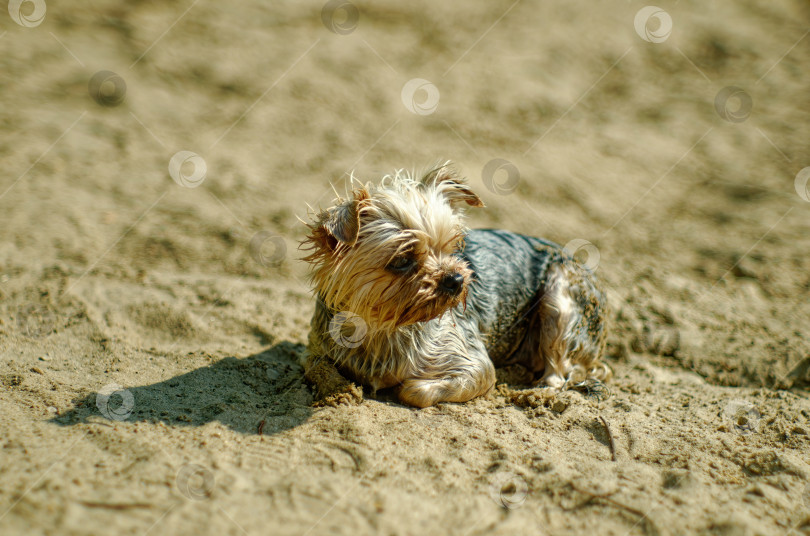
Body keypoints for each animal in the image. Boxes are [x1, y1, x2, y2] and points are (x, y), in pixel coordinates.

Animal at [300, 163, 608, 406]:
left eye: (454, 248)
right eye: (402, 260)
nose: (457, 278)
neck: (383, 326)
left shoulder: (474, 365)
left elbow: (417, 390)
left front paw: (403, 386)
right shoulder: (318, 347)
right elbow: (315, 365)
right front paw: (339, 390)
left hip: (560, 298)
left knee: (559, 373)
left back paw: (535, 394)